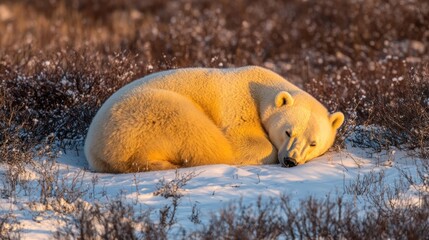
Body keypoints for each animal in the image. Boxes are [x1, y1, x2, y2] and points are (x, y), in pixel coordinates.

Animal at [84, 65, 344, 172]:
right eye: (288, 132)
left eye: (313, 143)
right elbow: (250, 142)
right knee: (199, 134)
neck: (259, 88)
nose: (290, 160)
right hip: (150, 114)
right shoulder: (238, 107)